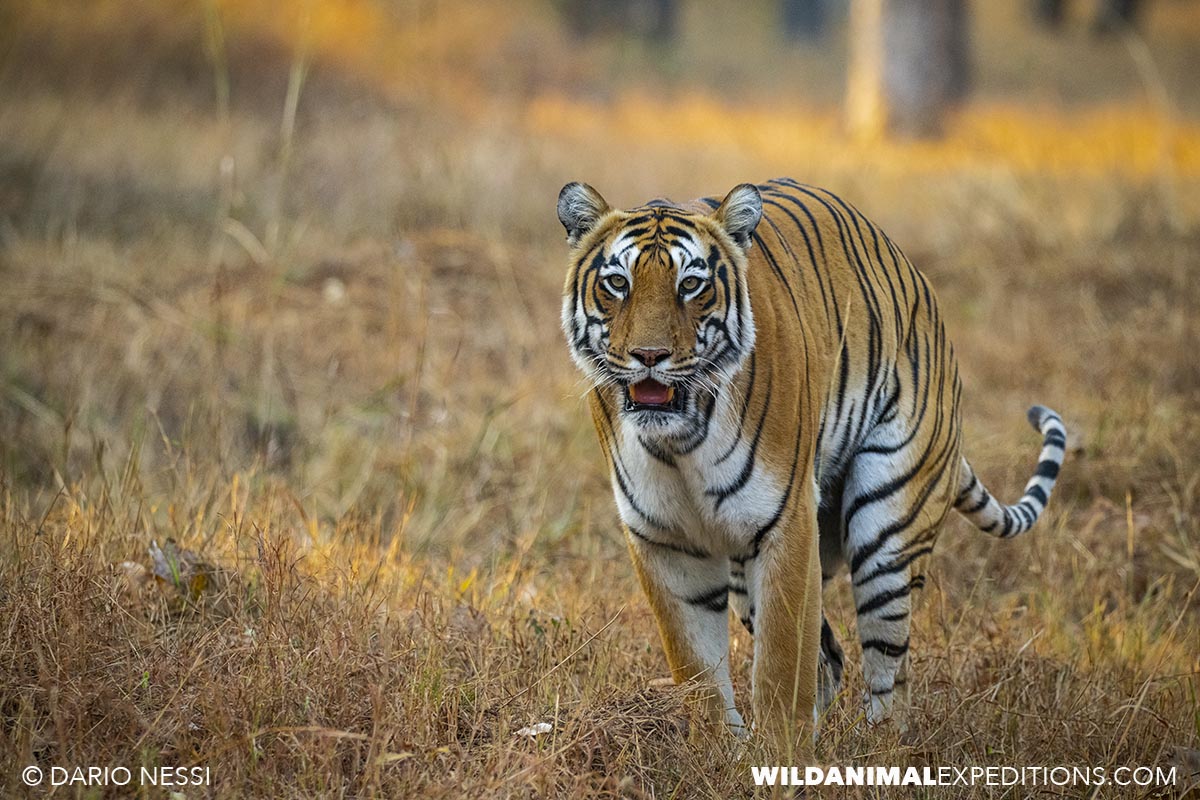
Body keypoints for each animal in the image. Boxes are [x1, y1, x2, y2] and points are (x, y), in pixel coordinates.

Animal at [557, 178, 1066, 757]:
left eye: (691, 285)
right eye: (617, 283)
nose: (649, 355)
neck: (679, 440)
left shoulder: (786, 523)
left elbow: (782, 662)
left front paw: (778, 757)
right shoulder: (665, 540)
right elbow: (696, 668)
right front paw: (719, 755)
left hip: (887, 527)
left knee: (890, 673)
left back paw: (875, 751)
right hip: (748, 570)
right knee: (832, 660)